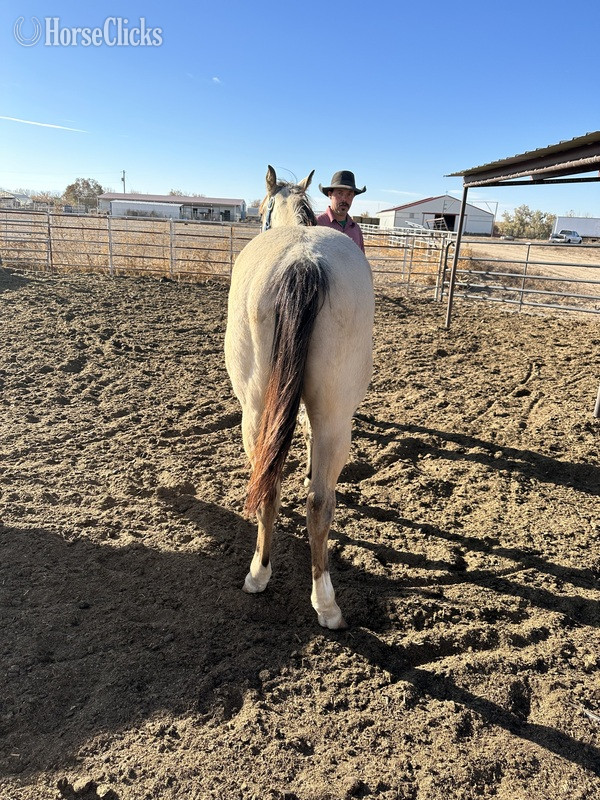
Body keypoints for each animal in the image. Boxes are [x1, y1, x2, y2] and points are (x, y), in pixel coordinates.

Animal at [224, 165, 374, 629]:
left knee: (270, 488)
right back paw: (324, 602)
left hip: (254, 411)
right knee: (316, 501)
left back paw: (260, 574)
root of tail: (303, 261)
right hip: (333, 417)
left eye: (260, 210)